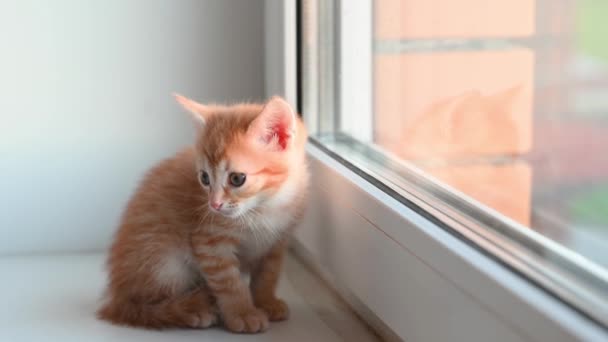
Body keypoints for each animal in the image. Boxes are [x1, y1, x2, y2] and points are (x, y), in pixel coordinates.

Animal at [100, 95, 312, 332]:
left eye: (237, 179)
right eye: (204, 178)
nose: (214, 205)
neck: (266, 206)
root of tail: (118, 297)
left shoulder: (276, 242)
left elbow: (268, 274)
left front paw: (266, 302)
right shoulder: (209, 242)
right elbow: (229, 283)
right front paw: (242, 313)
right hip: (165, 265)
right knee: (146, 306)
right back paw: (193, 309)